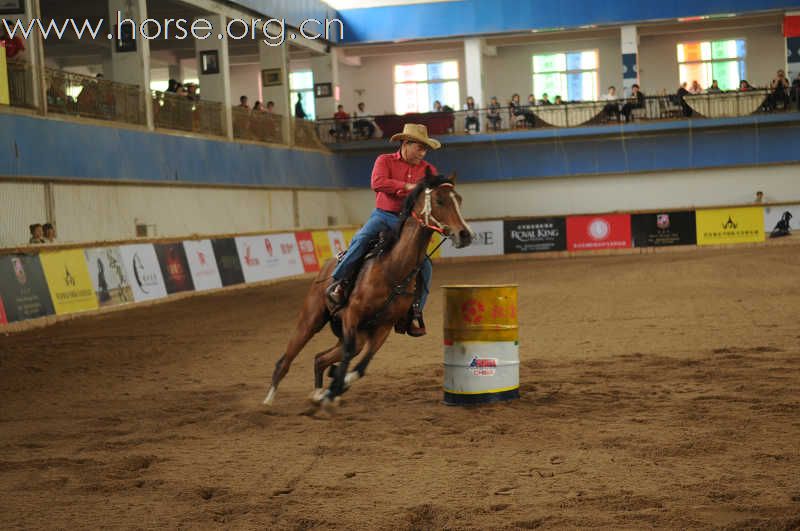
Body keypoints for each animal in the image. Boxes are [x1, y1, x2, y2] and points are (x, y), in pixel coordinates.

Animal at [262, 170, 476, 408]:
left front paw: (336, 387)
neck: (393, 268)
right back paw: (269, 400)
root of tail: (326, 266)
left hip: (359, 334)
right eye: (439, 200)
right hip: (311, 321)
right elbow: (348, 357)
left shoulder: (383, 326)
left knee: (320, 358)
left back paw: (318, 392)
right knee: (286, 359)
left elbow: (361, 366)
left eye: (459, 200)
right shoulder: (352, 314)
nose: (465, 234)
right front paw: (334, 389)